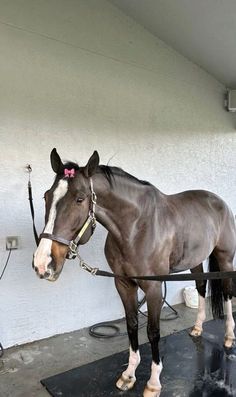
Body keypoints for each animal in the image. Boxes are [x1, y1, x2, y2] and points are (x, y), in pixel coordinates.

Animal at [33, 149, 236, 396]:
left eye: (79, 199)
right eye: (46, 197)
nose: (43, 263)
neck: (136, 228)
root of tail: (219, 201)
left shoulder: (154, 287)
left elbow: (153, 331)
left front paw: (153, 383)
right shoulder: (123, 283)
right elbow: (131, 325)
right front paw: (129, 375)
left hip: (225, 259)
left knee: (227, 293)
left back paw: (229, 336)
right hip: (195, 261)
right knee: (200, 288)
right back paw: (197, 328)